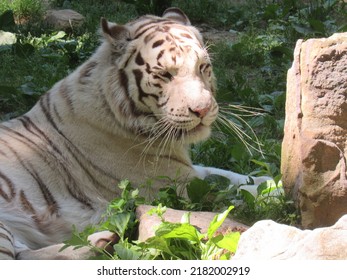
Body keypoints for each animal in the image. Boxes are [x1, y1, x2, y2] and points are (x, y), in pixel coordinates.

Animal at [0, 7, 270, 260]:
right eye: (165, 74)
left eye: (203, 67)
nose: (202, 109)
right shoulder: (175, 184)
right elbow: (236, 192)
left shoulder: (189, 170)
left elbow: (233, 177)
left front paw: (270, 180)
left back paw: (101, 241)